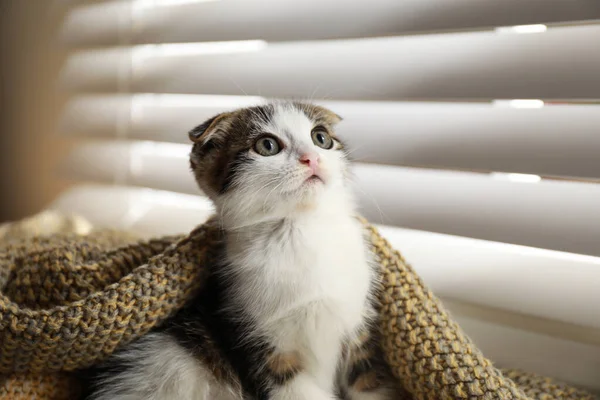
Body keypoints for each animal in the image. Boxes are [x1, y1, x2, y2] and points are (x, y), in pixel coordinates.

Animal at [83, 101, 394, 398]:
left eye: (321, 138)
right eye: (267, 146)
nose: (312, 157)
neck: (299, 232)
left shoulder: (359, 326)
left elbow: (369, 380)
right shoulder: (254, 337)